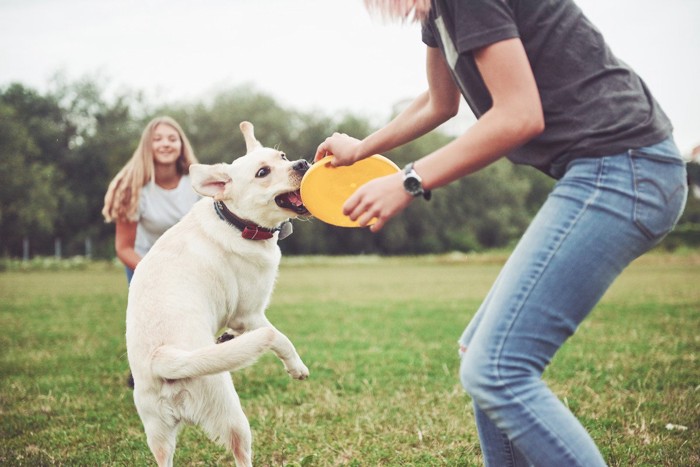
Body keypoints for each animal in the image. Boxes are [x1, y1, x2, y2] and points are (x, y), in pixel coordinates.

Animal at [126, 121, 312, 467]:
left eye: (282, 156)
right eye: (263, 172)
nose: (302, 164)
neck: (236, 222)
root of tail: (164, 359)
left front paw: (226, 339)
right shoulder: (250, 315)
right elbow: (282, 340)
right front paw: (297, 368)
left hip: (157, 433)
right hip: (231, 415)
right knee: (241, 452)